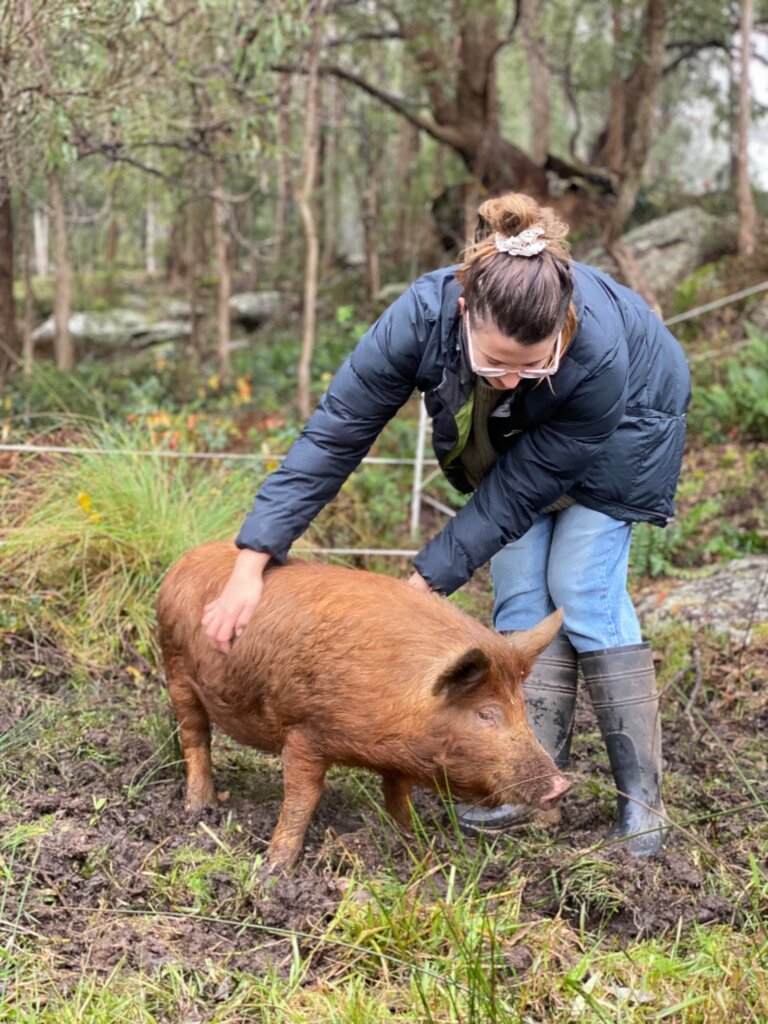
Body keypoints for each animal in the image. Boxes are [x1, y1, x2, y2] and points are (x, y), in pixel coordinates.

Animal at [156, 540, 573, 868]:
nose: (560, 785)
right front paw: (276, 867)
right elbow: (303, 798)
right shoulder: (304, 731)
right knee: (196, 738)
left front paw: (418, 846)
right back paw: (200, 808)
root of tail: (185, 560)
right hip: (177, 672)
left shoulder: (398, 761)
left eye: (522, 707)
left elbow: (398, 799)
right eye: (485, 713)